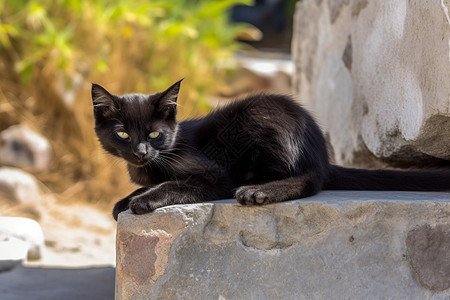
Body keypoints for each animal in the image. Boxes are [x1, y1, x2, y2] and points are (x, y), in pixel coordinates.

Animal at [91, 80, 450, 220]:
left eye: (154, 134)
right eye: (123, 134)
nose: (140, 152)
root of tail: (320, 150)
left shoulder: (214, 175)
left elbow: (173, 185)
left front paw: (142, 200)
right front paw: (125, 200)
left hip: (261, 119)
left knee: (311, 180)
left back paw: (259, 191)